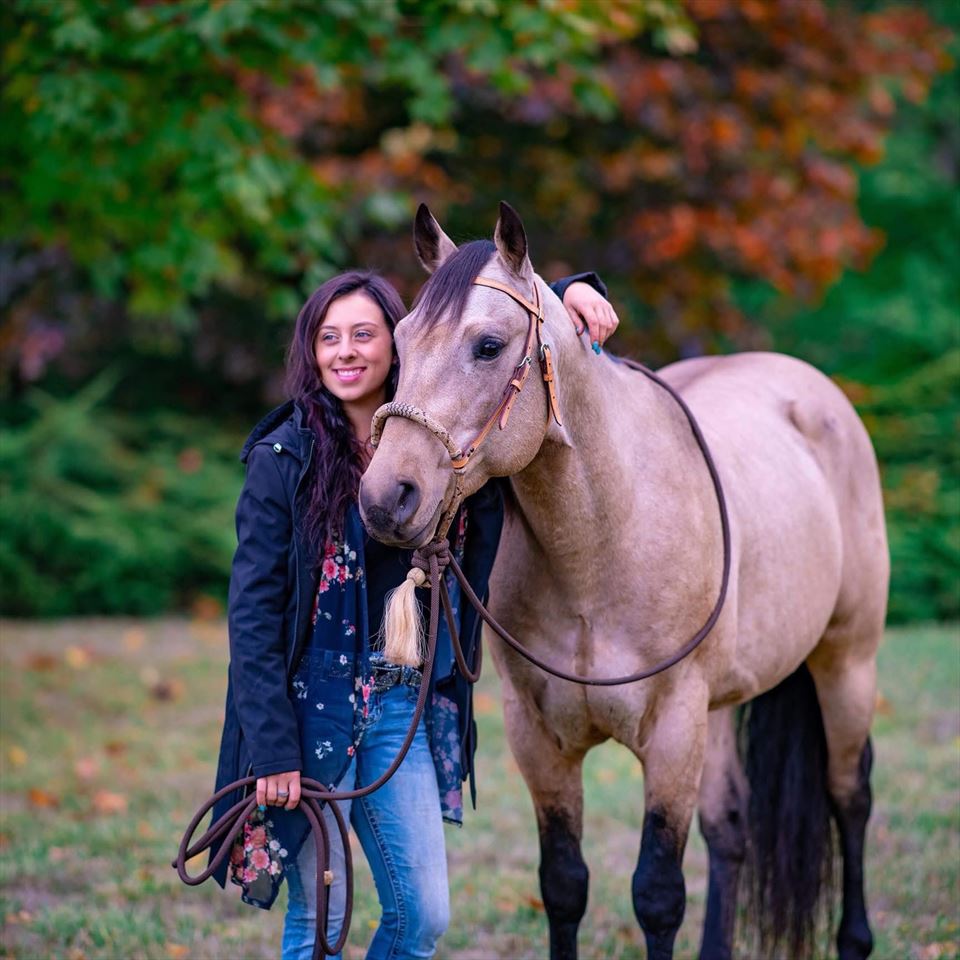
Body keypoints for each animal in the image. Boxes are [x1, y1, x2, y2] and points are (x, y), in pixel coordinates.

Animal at [358, 202, 888, 960]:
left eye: (488, 346)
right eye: (398, 345)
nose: (386, 498)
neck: (601, 545)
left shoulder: (671, 735)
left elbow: (657, 895)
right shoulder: (540, 742)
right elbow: (564, 884)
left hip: (846, 665)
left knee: (850, 796)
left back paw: (854, 938)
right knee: (731, 827)